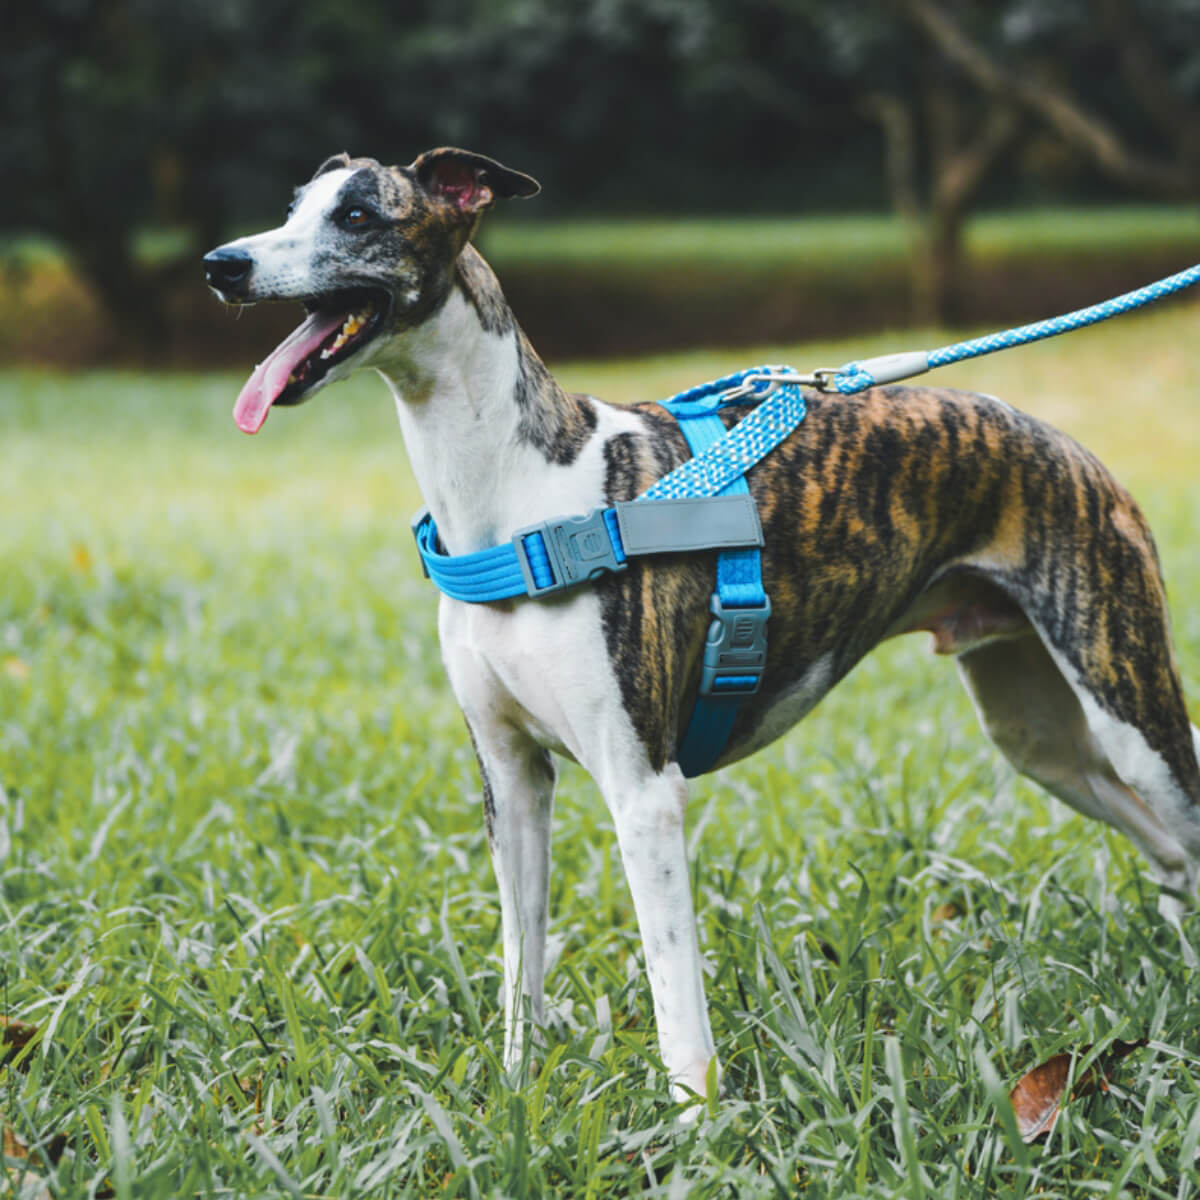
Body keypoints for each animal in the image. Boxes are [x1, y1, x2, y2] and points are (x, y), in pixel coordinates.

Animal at [204, 147, 1200, 1104]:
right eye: (293, 207)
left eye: (357, 215)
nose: (222, 264)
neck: (517, 496)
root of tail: (1072, 447)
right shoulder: (511, 781)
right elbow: (521, 966)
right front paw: (516, 1094)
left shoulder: (643, 790)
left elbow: (671, 981)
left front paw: (695, 1119)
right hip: (1040, 739)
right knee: (1168, 855)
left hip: (1129, 706)